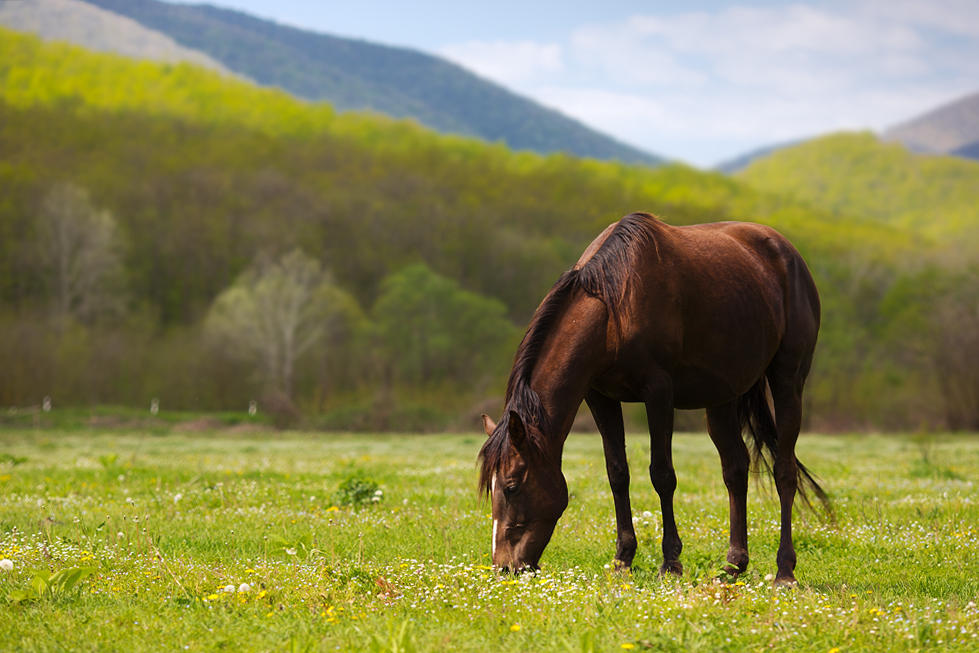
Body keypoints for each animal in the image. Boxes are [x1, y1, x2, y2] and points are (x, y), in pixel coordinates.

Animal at [478, 211, 832, 584]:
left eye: (511, 486)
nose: (505, 566)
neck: (615, 306)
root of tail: (789, 254)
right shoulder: (599, 395)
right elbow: (617, 473)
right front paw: (623, 560)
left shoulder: (658, 391)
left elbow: (662, 474)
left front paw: (671, 562)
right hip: (722, 398)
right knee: (735, 470)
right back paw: (733, 565)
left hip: (788, 380)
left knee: (784, 470)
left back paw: (784, 571)